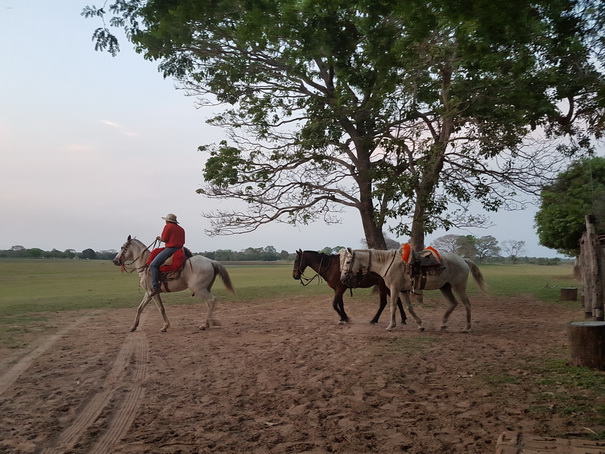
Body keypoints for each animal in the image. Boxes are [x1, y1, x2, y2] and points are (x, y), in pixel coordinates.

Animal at [340, 247, 486, 332]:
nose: (342, 278)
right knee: (453, 303)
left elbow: (393, 306)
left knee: (467, 304)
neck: (387, 263)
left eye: (348, 262)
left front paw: (391, 326)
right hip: (445, 287)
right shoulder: (403, 290)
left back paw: (467, 327)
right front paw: (420, 325)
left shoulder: (394, 288)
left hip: (458, 287)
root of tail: (463, 259)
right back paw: (443, 324)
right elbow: (409, 308)